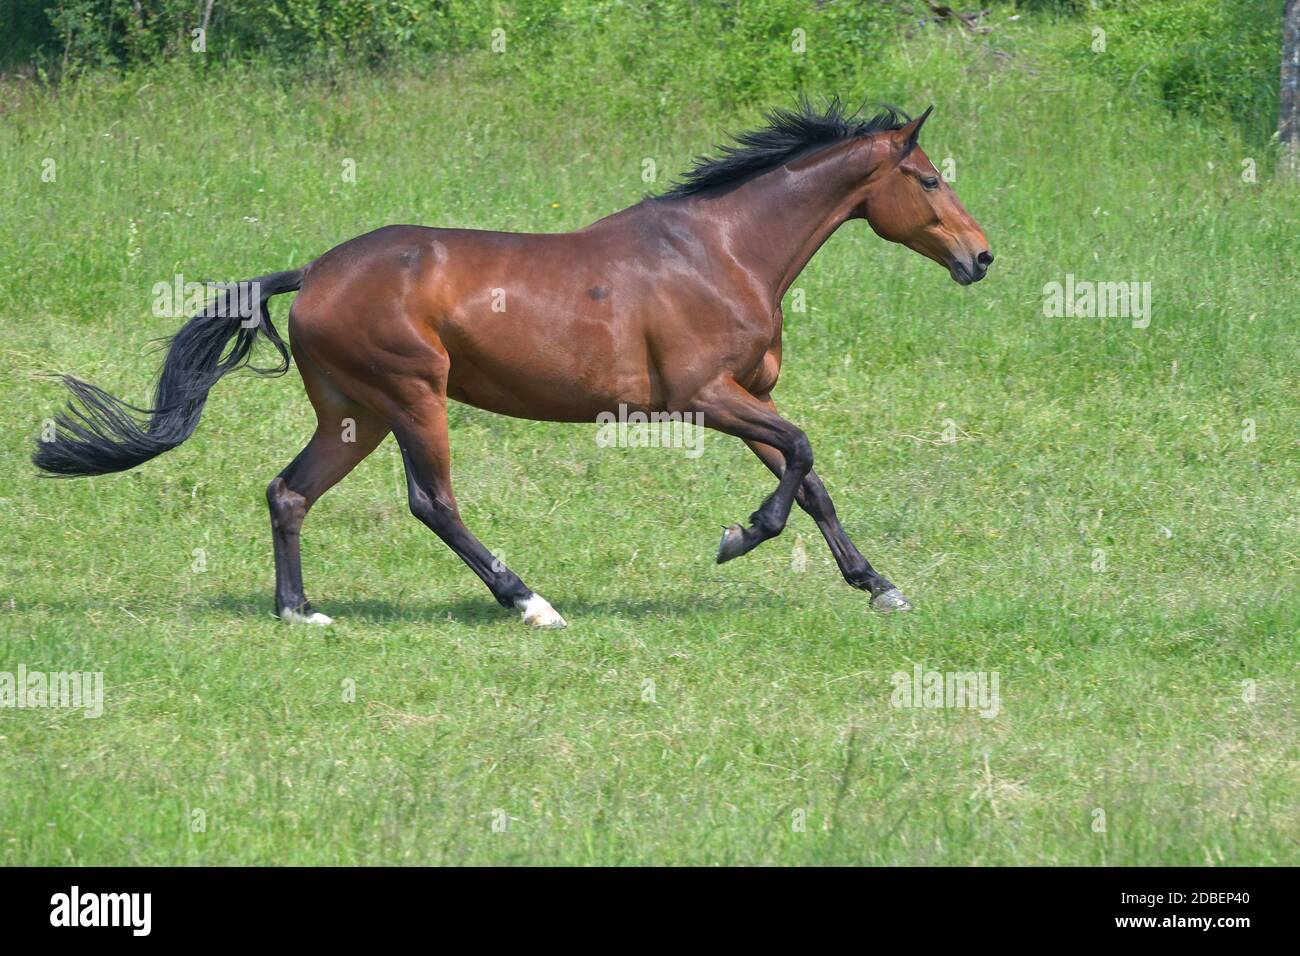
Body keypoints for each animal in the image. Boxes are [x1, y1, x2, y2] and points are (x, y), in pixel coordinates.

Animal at [34, 99, 992, 628]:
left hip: (355, 413)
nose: (981, 258)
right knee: (432, 503)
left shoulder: (740, 396)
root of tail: (313, 272)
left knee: (289, 491)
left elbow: (811, 477)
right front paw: (738, 538)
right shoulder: (704, 396)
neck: (721, 250)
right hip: (413, 399)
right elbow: (801, 453)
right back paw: (530, 603)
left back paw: (299, 611)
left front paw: (879, 587)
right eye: (930, 178)